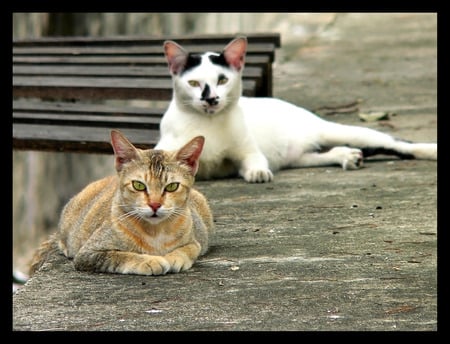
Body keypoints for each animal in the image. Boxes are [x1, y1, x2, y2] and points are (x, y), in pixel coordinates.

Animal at [29, 129, 214, 276]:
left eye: (172, 186)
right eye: (138, 185)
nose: (155, 205)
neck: (155, 232)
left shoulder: (195, 240)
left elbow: (190, 248)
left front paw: (174, 257)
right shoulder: (89, 253)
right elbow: (121, 255)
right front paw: (149, 261)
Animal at [156, 35, 438, 183]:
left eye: (222, 80)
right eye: (194, 83)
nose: (211, 99)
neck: (209, 124)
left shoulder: (248, 151)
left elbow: (255, 162)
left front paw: (258, 173)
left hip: (344, 132)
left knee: (401, 144)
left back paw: (428, 150)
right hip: (301, 157)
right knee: (324, 153)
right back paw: (347, 156)